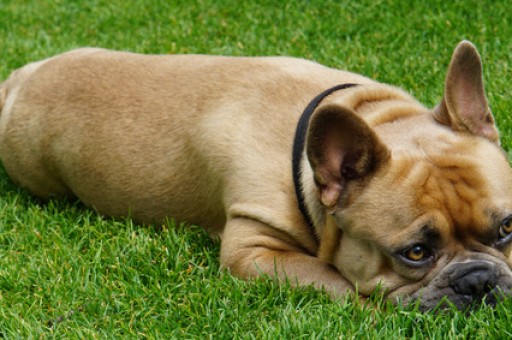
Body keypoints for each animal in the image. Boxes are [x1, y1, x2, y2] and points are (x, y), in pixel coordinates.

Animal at [1, 41, 512, 310]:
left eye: (507, 228)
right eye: (416, 253)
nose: (479, 281)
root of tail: (18, 80)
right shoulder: (255, 251)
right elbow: (337, 283)